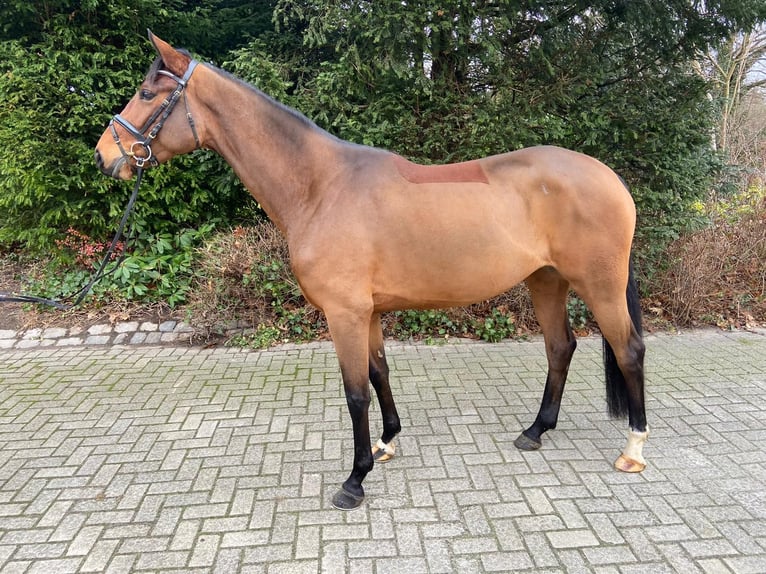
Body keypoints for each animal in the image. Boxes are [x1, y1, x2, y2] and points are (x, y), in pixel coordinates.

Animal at [94, 32, 648, 512]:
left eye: (146, 93)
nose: (104, 156)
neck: (320, 187)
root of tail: (610, 177)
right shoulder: (370, 312)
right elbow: (380, 373)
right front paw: (386, 444)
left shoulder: (344, 313)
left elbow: (355, 392)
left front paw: (355, 480)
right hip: (546, 280)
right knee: (560, 347)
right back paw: (536, 431)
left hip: (598, 285)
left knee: (629, 350)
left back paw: (633, 449)